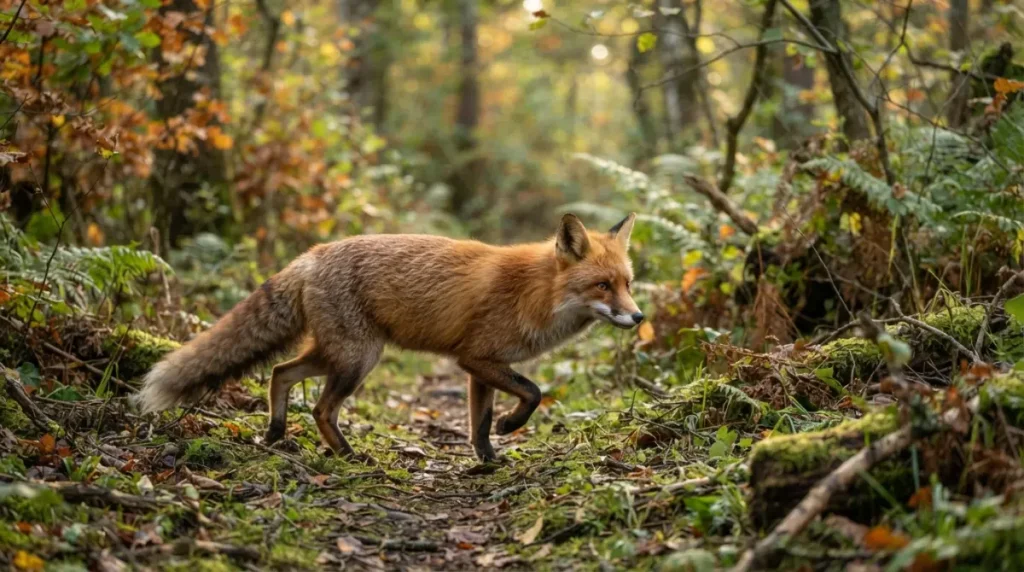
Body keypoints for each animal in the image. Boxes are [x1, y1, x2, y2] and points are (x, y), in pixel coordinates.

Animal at [136, 213, 643, 462]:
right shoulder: (476, 359)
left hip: (338, 354)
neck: (535, 292)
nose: (639, 317)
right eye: (603, 286)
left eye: (628, 283)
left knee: (280, 372)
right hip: (358, 359)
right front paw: (509, 428)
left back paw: (276, 432)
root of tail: (312, 254)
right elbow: (533, 393)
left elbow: (478, 423)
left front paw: (488, 458)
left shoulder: (480, 366)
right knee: (320, 408)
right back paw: (348, 455)